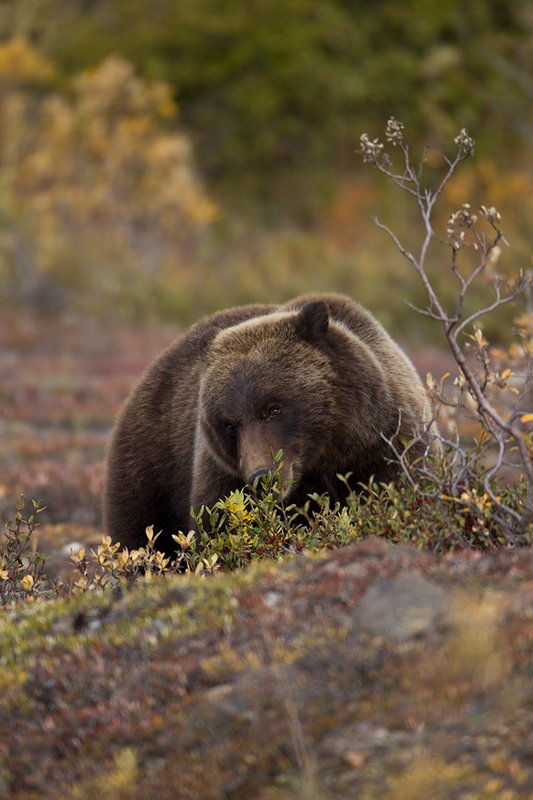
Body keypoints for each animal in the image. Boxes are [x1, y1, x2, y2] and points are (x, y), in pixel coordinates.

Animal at [104, 293, 434, 554]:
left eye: (273, 409)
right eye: (229, 424)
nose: (262, 478)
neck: (325, 457)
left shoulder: (388, 448)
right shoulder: (221, 477)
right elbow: (219, 528)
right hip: (151, 470)